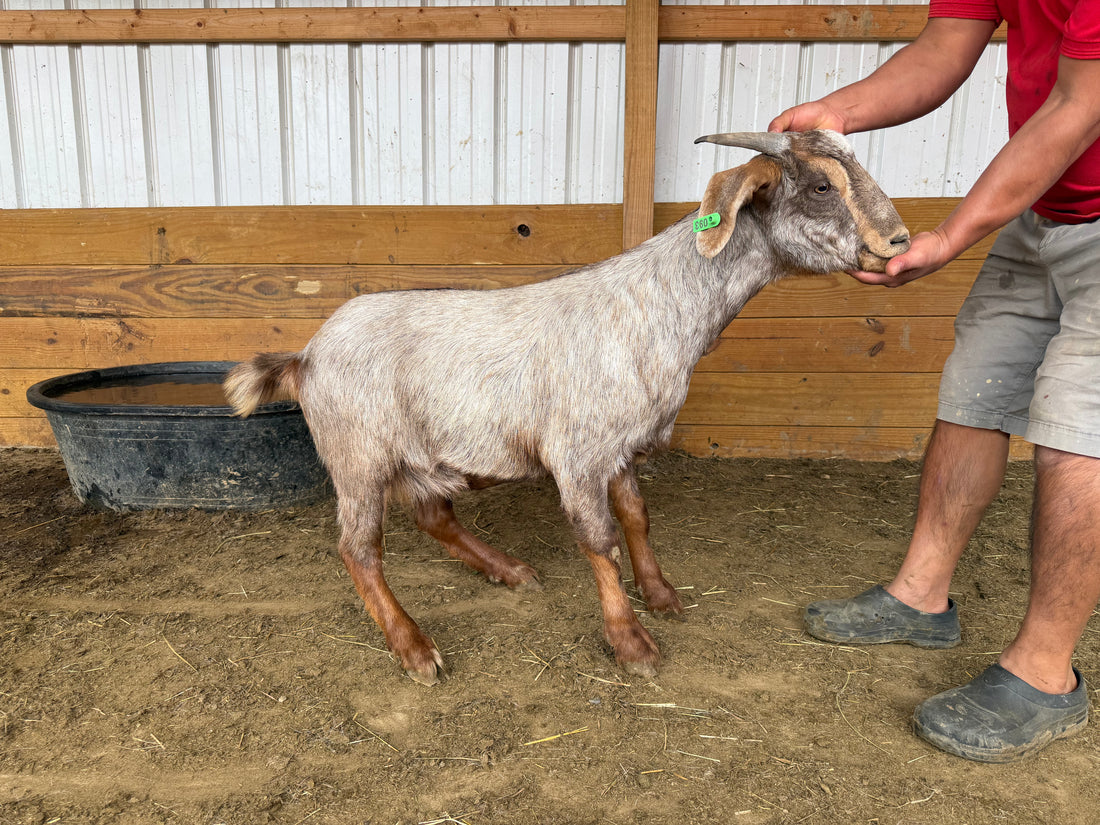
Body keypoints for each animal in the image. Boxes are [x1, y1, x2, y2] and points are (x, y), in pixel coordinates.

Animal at [225, 130, 910, 685]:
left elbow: (636, 517)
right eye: (822, 185)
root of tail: (305, 356)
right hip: (358, 459)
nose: (899, 240)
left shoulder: (622, 446)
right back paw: (415, 649)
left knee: (431, 516)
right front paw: (631, 642)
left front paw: (660, 594)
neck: (658, 308)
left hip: (422, 457)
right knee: (359, 549)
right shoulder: (578, 452)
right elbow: (598, 537)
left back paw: (508, 570)